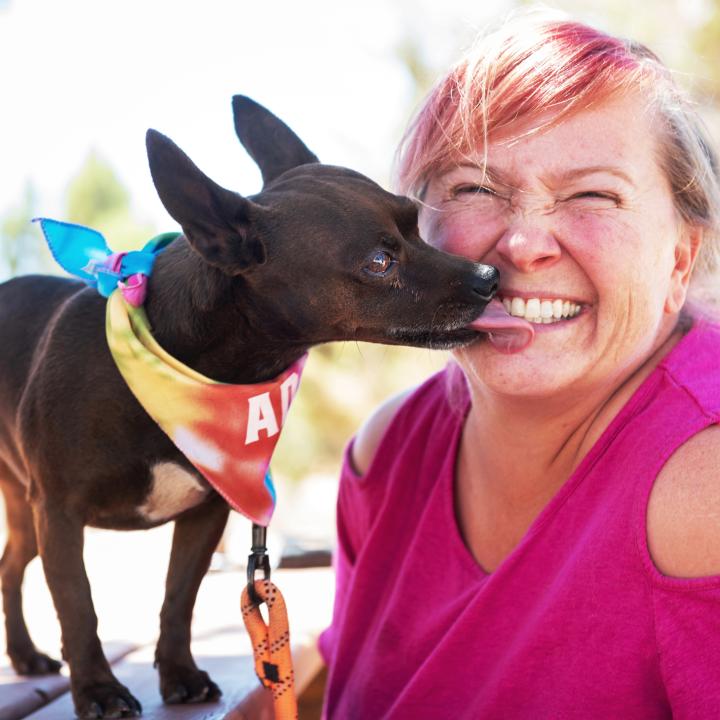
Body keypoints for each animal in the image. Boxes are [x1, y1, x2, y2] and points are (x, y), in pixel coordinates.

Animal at [0, 94, 496, 716]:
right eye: (379, 262)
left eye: (416, 224)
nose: (489, 276)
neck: (182, 360)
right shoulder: (61, 515)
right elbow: (77, 605)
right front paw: (98, 690)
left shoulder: (206, 515)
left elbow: (178, 598)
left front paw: (180, 673)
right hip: (32, 512)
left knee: (9, 566)